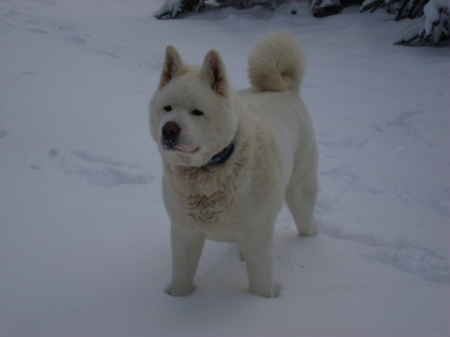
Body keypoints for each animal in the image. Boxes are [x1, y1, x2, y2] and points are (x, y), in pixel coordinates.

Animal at [149, 32, 318, 296]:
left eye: (197, 111)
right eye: (167, 107)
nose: (169, 129)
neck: (208, 172)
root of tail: (286, 89)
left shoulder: (258, 238)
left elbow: (260, 285)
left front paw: (258, 303)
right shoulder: (185, 235)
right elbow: (181, 281)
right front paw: (177, 301)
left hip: (301, 191)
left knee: (306, 220)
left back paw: (310, 244)